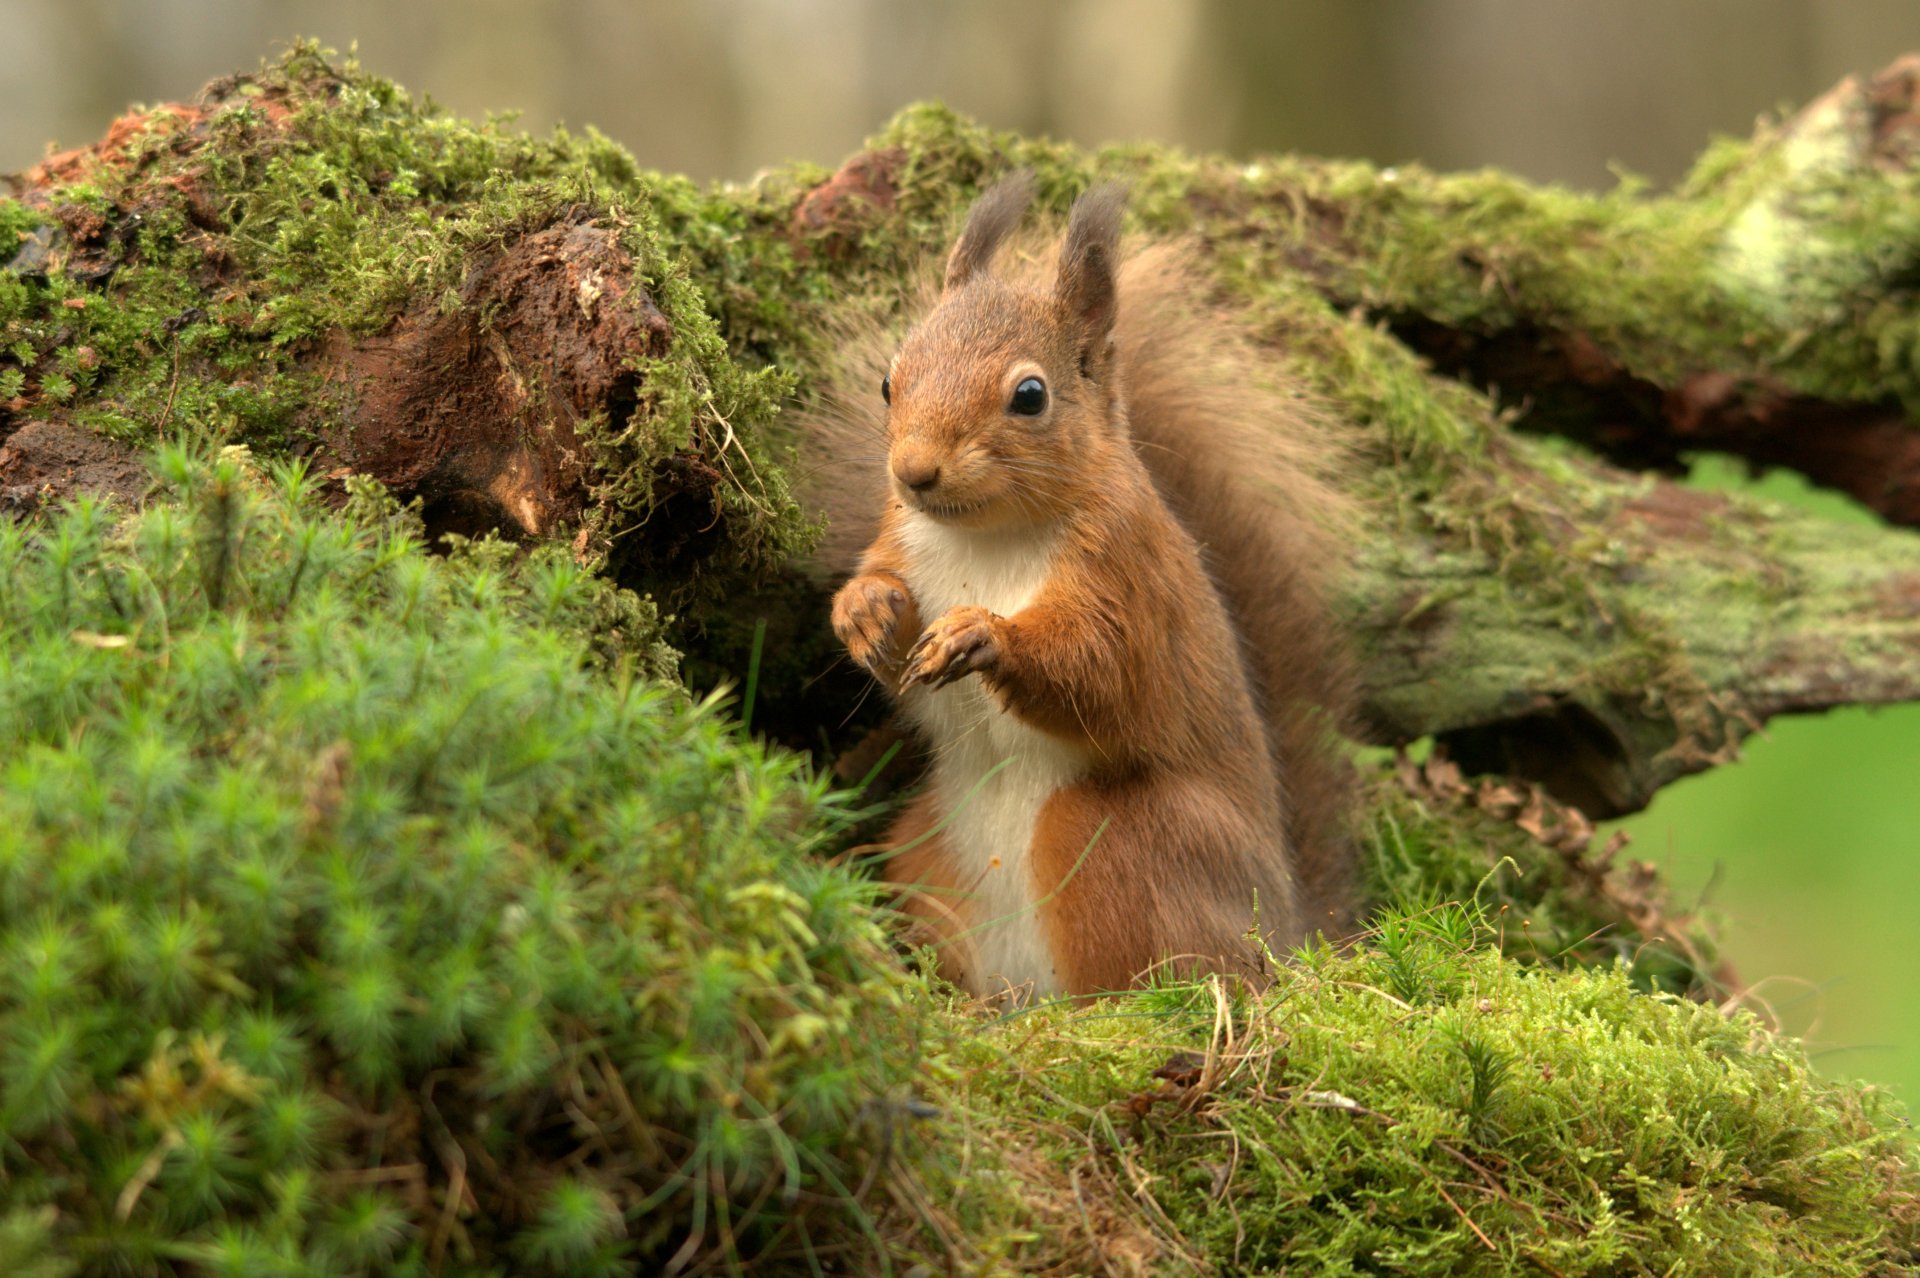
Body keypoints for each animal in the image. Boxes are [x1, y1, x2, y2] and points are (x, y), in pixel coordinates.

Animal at [803, 173, 1355, 1000]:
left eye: (1030, 396)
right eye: (887, 381)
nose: (914, 472)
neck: (986, 538)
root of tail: (1285, 929)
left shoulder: (1126, 577)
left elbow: (1100, 672)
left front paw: (983, 634)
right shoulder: (900, 540)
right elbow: (885, 609)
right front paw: (864, 610)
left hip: (1115, 842)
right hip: (926, 852)